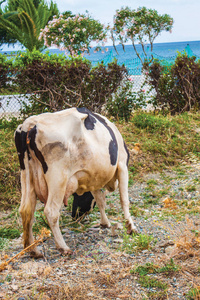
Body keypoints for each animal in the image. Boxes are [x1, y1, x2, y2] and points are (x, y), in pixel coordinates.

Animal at [14, 106, 138, 256]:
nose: (74, 215)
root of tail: (30, 124)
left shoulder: (94, 177)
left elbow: (100, 200)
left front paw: (105, 223)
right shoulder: (122, 165)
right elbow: (124, 199)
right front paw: (131, 226)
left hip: (27, 175)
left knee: (26, 210)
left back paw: (33, 250)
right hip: (58, 177)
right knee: (51, 211)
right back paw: (63, 247)